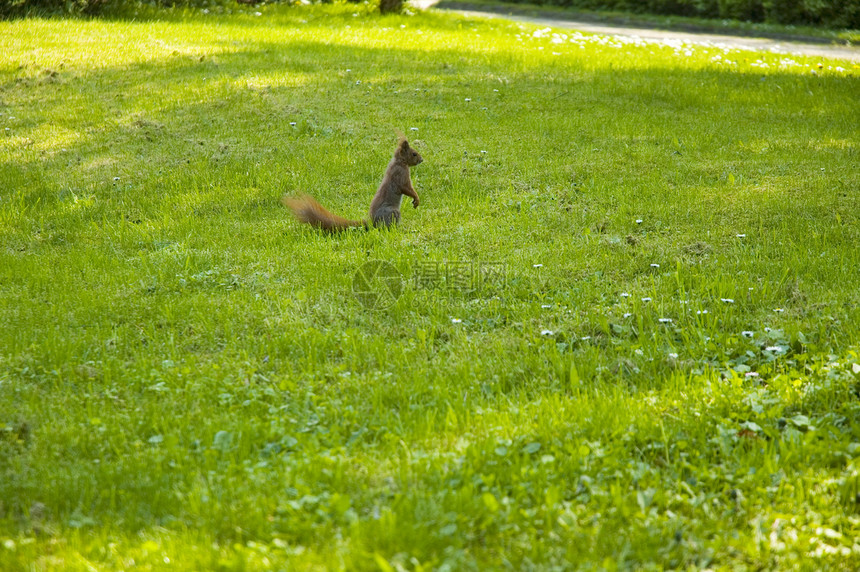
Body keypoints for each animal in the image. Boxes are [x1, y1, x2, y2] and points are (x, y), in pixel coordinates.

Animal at [286, 137, 424, 231]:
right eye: (414, 154)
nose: (422, 160)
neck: (399, 161)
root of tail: (372, 223)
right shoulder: (401, 175)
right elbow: (407, 188)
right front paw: (416, 199)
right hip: (392, 212)